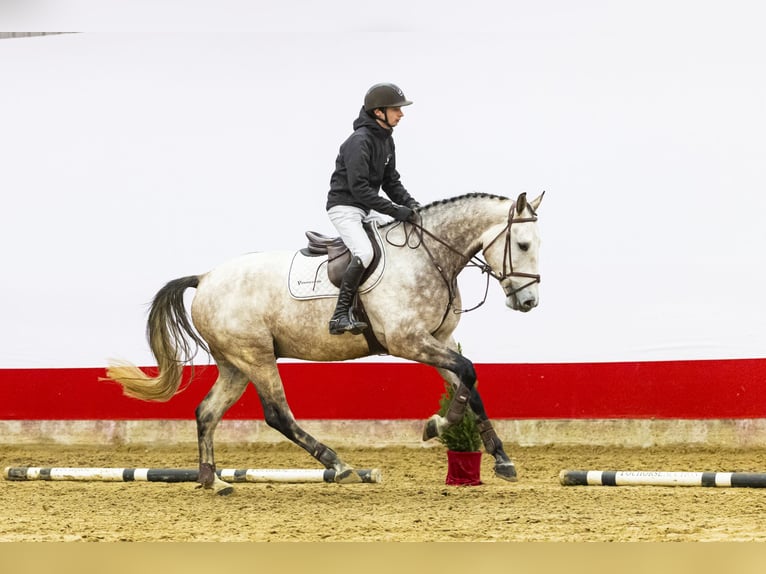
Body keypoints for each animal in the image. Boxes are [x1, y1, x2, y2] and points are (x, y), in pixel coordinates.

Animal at [106, 191, 544, 495]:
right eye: (523, 245)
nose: (528, 302)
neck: (428, 257)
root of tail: (205, 278)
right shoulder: (408, 341)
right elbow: (467, 374)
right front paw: (435, 425)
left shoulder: (438, 339)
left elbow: (470, 386)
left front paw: (501, 459)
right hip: (256, 356)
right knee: (277, 415)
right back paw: (338, 464)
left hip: (235, 364)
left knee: (206, 413)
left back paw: (214, 481)